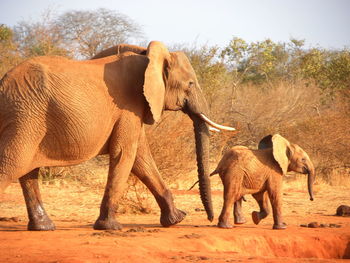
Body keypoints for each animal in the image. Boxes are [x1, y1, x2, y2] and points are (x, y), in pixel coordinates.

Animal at [0, 40, 235, 231]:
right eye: (190, 84)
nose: (210, 219)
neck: (148, 56)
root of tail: (3, 83)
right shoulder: (129, 106)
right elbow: (126, 154)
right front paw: (111, 227)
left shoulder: (134, 108)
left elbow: (141, 157)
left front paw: (176, 219)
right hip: (26, 116)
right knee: (12, 165)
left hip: (27, 119)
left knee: (27, 171)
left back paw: (44, 227)